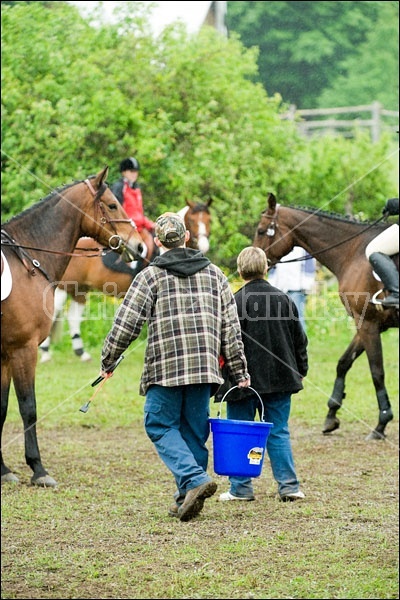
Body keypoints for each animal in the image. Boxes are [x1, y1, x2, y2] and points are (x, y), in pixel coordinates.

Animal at [0, 166, 144, 486]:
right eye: (113, 205)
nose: (139, 245)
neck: (27, 261)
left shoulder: (4, 355)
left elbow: (1, 409)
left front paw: (2, 470)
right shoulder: (23, 349)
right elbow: (28, 408)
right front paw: (38, 469)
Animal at [39, 198, 212, 360]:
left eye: (208, 220)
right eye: (192, 220)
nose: (204, 245)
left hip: (80, 289)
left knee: (73, 316)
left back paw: (81, 353)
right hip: (63, 288)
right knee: (53, 313)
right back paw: (46, 352)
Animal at [255, 192, 398, 440]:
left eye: (262, 230)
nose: (252, 259)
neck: (352, 251)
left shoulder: (367, 323)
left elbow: (376, 372)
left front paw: (381, 424)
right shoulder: (368, 324)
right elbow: (343, 363)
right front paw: (331, 414)